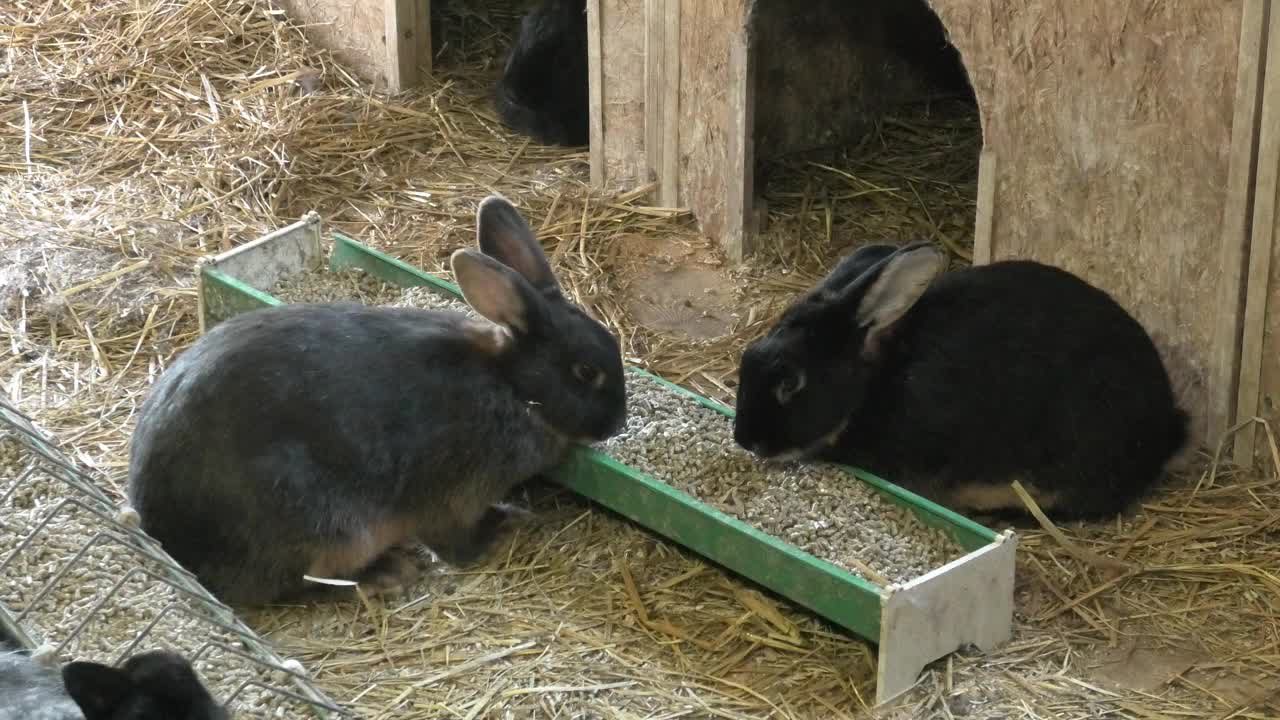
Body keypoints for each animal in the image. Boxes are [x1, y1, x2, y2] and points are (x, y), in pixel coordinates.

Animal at [127, 193, 627, 602]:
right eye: (586, 372)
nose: (617, 423)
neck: (509, 385)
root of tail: (164, 534)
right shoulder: (454, 497)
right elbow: (458, 545)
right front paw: (511, 522)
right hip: (324, 524)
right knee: (297, 583)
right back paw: (386, 573)